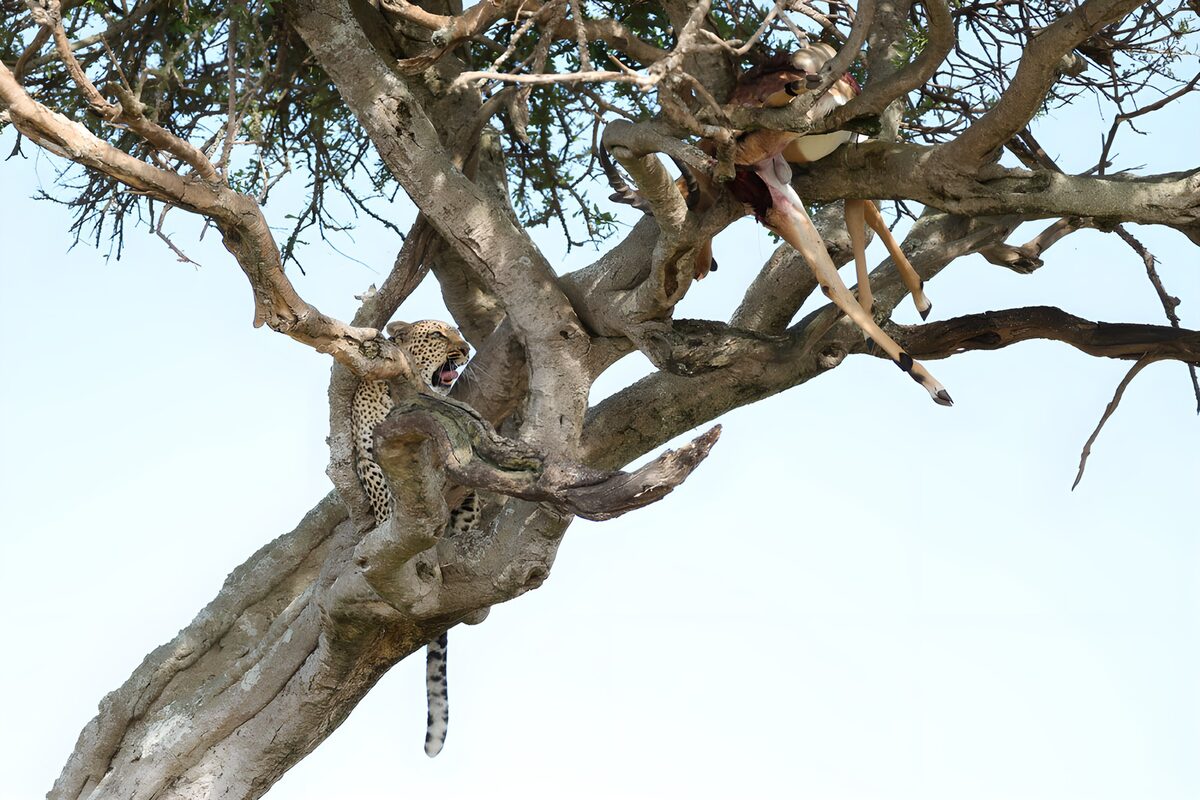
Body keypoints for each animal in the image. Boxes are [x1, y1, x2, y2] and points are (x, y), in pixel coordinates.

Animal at [350, 318, 476, 757]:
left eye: (457, 332)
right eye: (438, 335)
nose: (467, 349)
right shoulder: (369, 452)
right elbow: (382, 490)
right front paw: (387, 520)